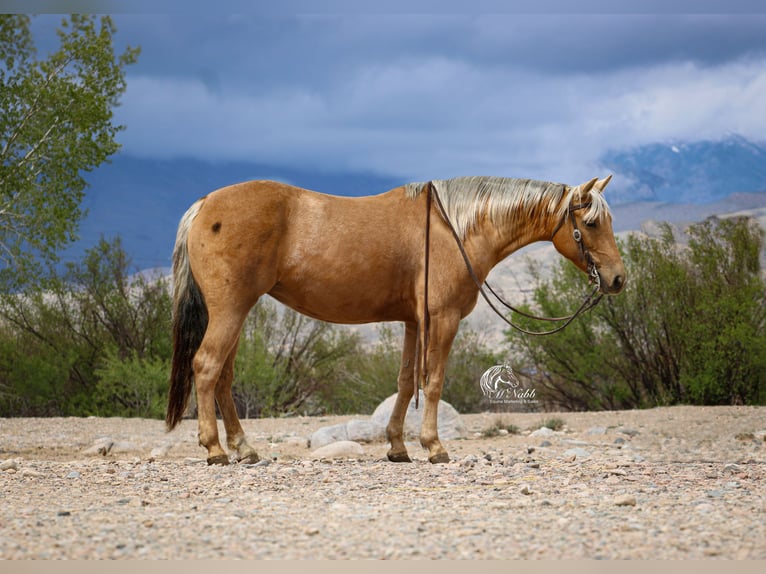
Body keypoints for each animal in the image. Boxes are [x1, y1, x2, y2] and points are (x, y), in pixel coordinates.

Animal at [166, 175, 625, 465]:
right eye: (591, 222)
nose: (618, 279)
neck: (454, 230)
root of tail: (204, 205)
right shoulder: (443, 318)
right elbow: (434, 381)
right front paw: (434, 447)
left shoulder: (413, 322)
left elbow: (406, 382)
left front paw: (398, 448)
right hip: (230, 310)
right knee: (206, 367)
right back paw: (215, 451)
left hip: (235, 313)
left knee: (222, 377)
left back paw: (244, 448)